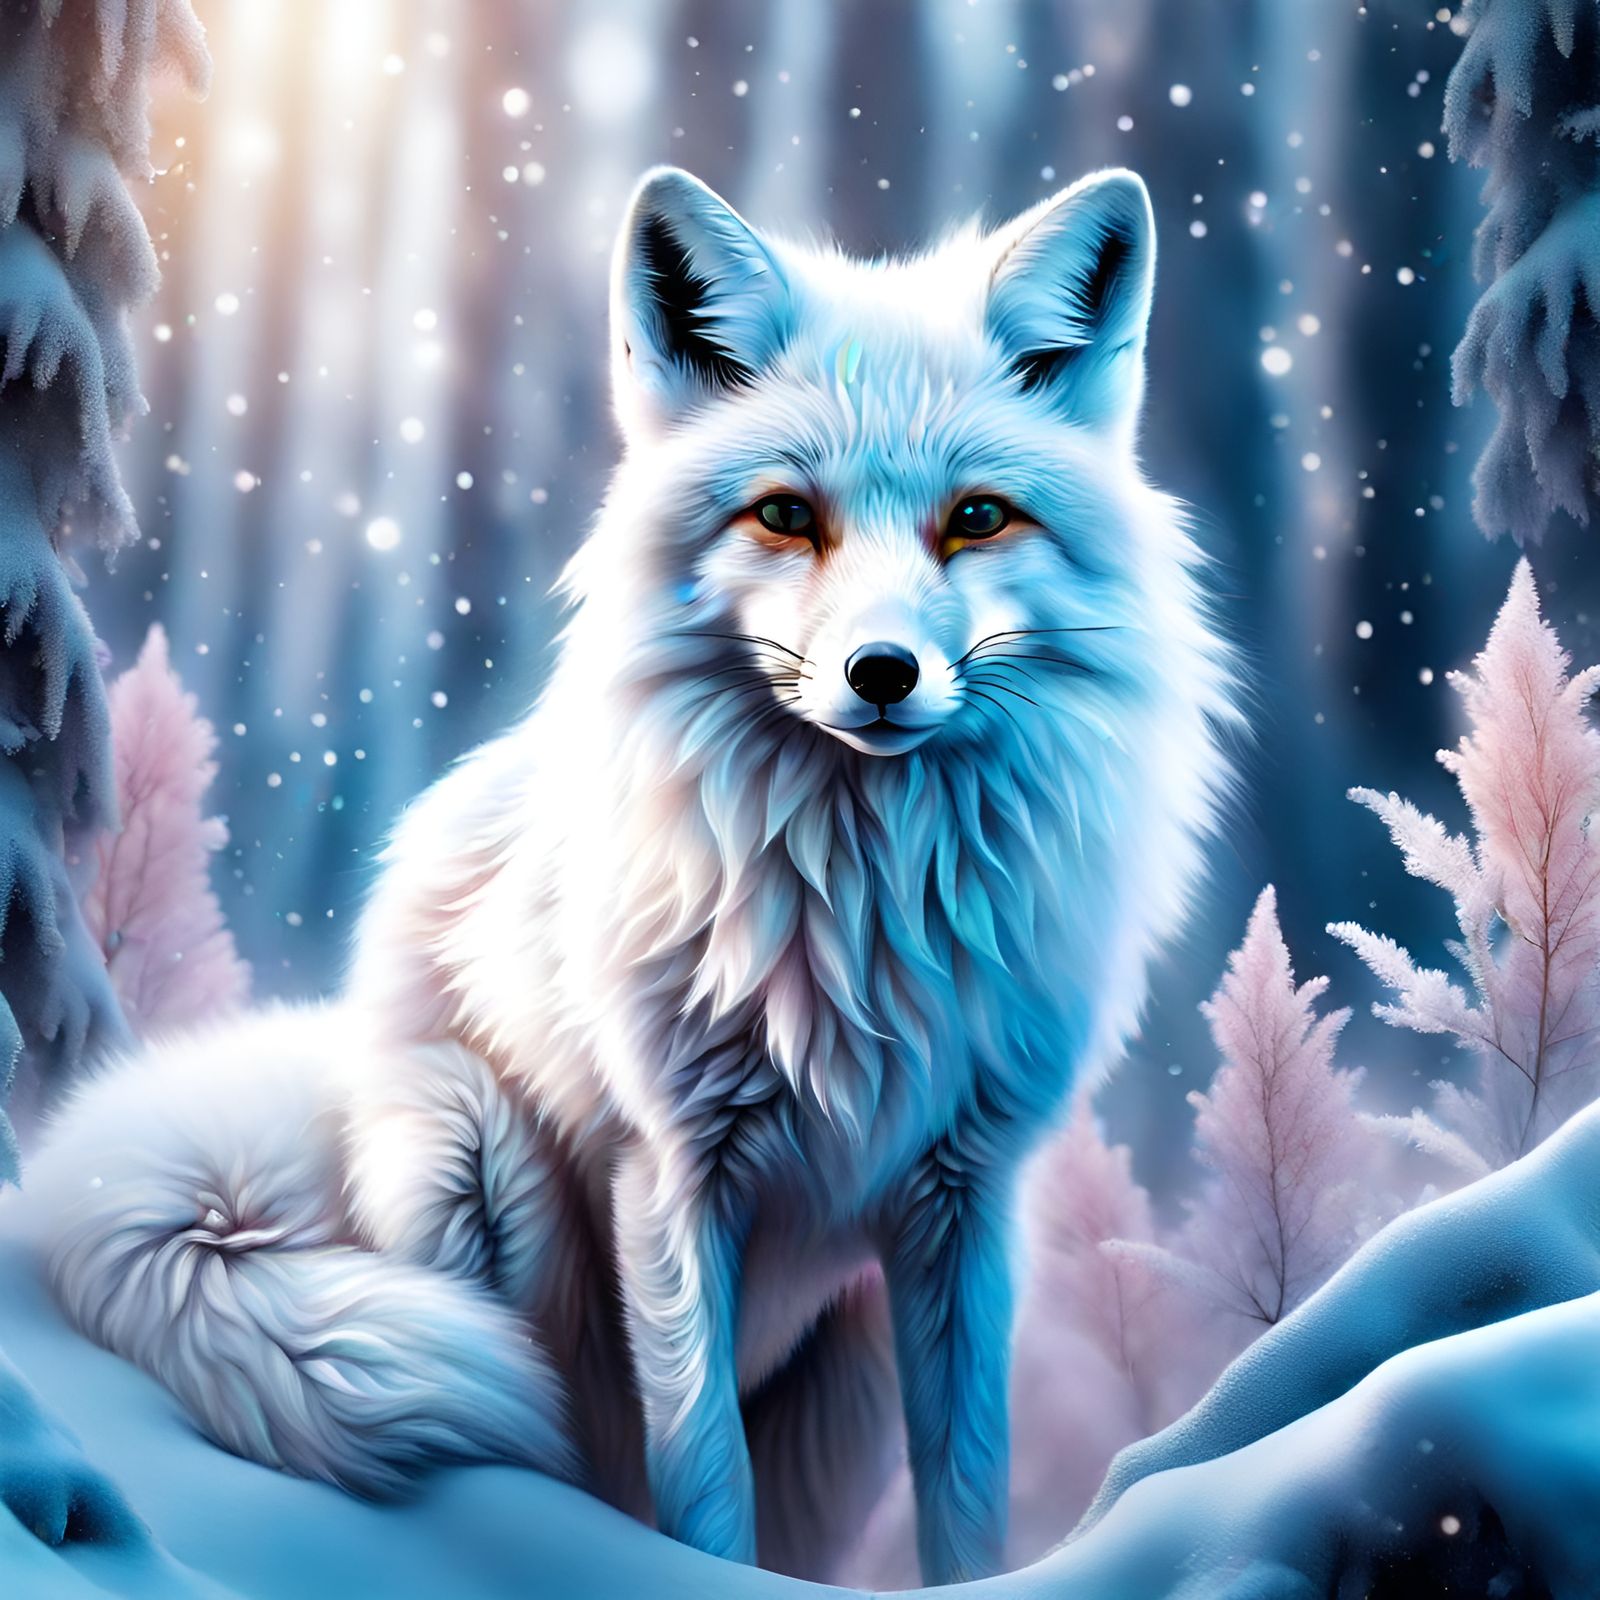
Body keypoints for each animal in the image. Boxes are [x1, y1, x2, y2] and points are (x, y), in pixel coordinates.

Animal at [26, 166, 1232, 1586]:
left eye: (977, 517)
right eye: (786, 513)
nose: (882, 674)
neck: (861, 917)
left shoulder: (967, 1199)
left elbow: (968, 1492)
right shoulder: (672, 1171)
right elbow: (700, 1480)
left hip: (851, 1376)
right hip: (461, 1157)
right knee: (553, 1450)